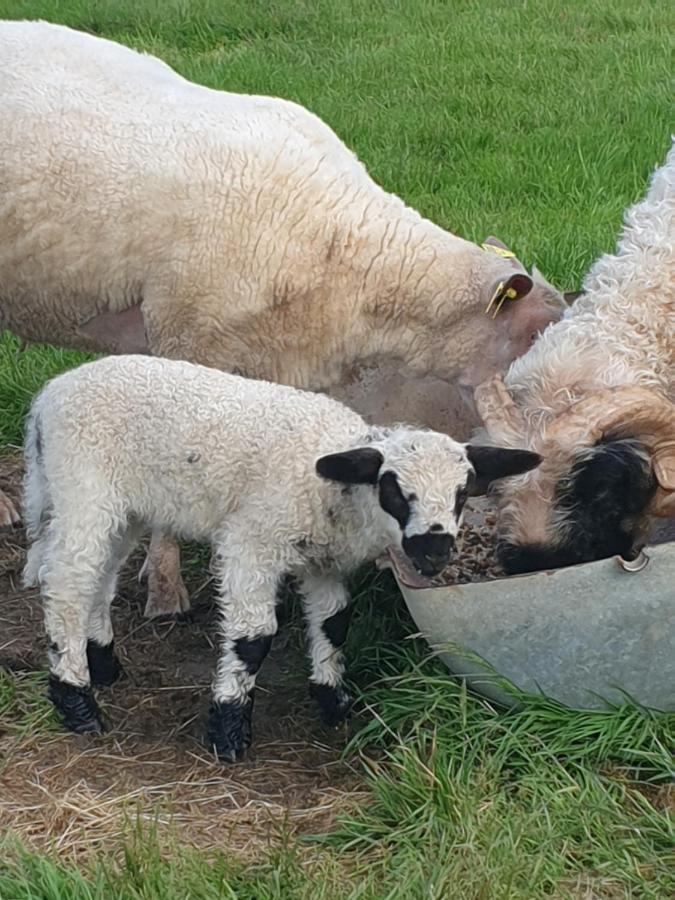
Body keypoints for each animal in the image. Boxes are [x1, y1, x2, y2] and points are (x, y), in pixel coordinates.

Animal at [22, 356, 544, 764]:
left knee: (99, 577)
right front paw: (229, 730)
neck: (332, 482)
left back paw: (102, 665)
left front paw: (333, 703)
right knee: (68, 582)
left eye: (462, 493)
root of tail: (47, 397)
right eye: (395, 490)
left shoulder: (324, 562)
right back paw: (77, 703)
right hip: (83, 486)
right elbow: (253, 639)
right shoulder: (251, 541)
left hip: (125, 508)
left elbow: (335, 622)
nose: (435, 552)